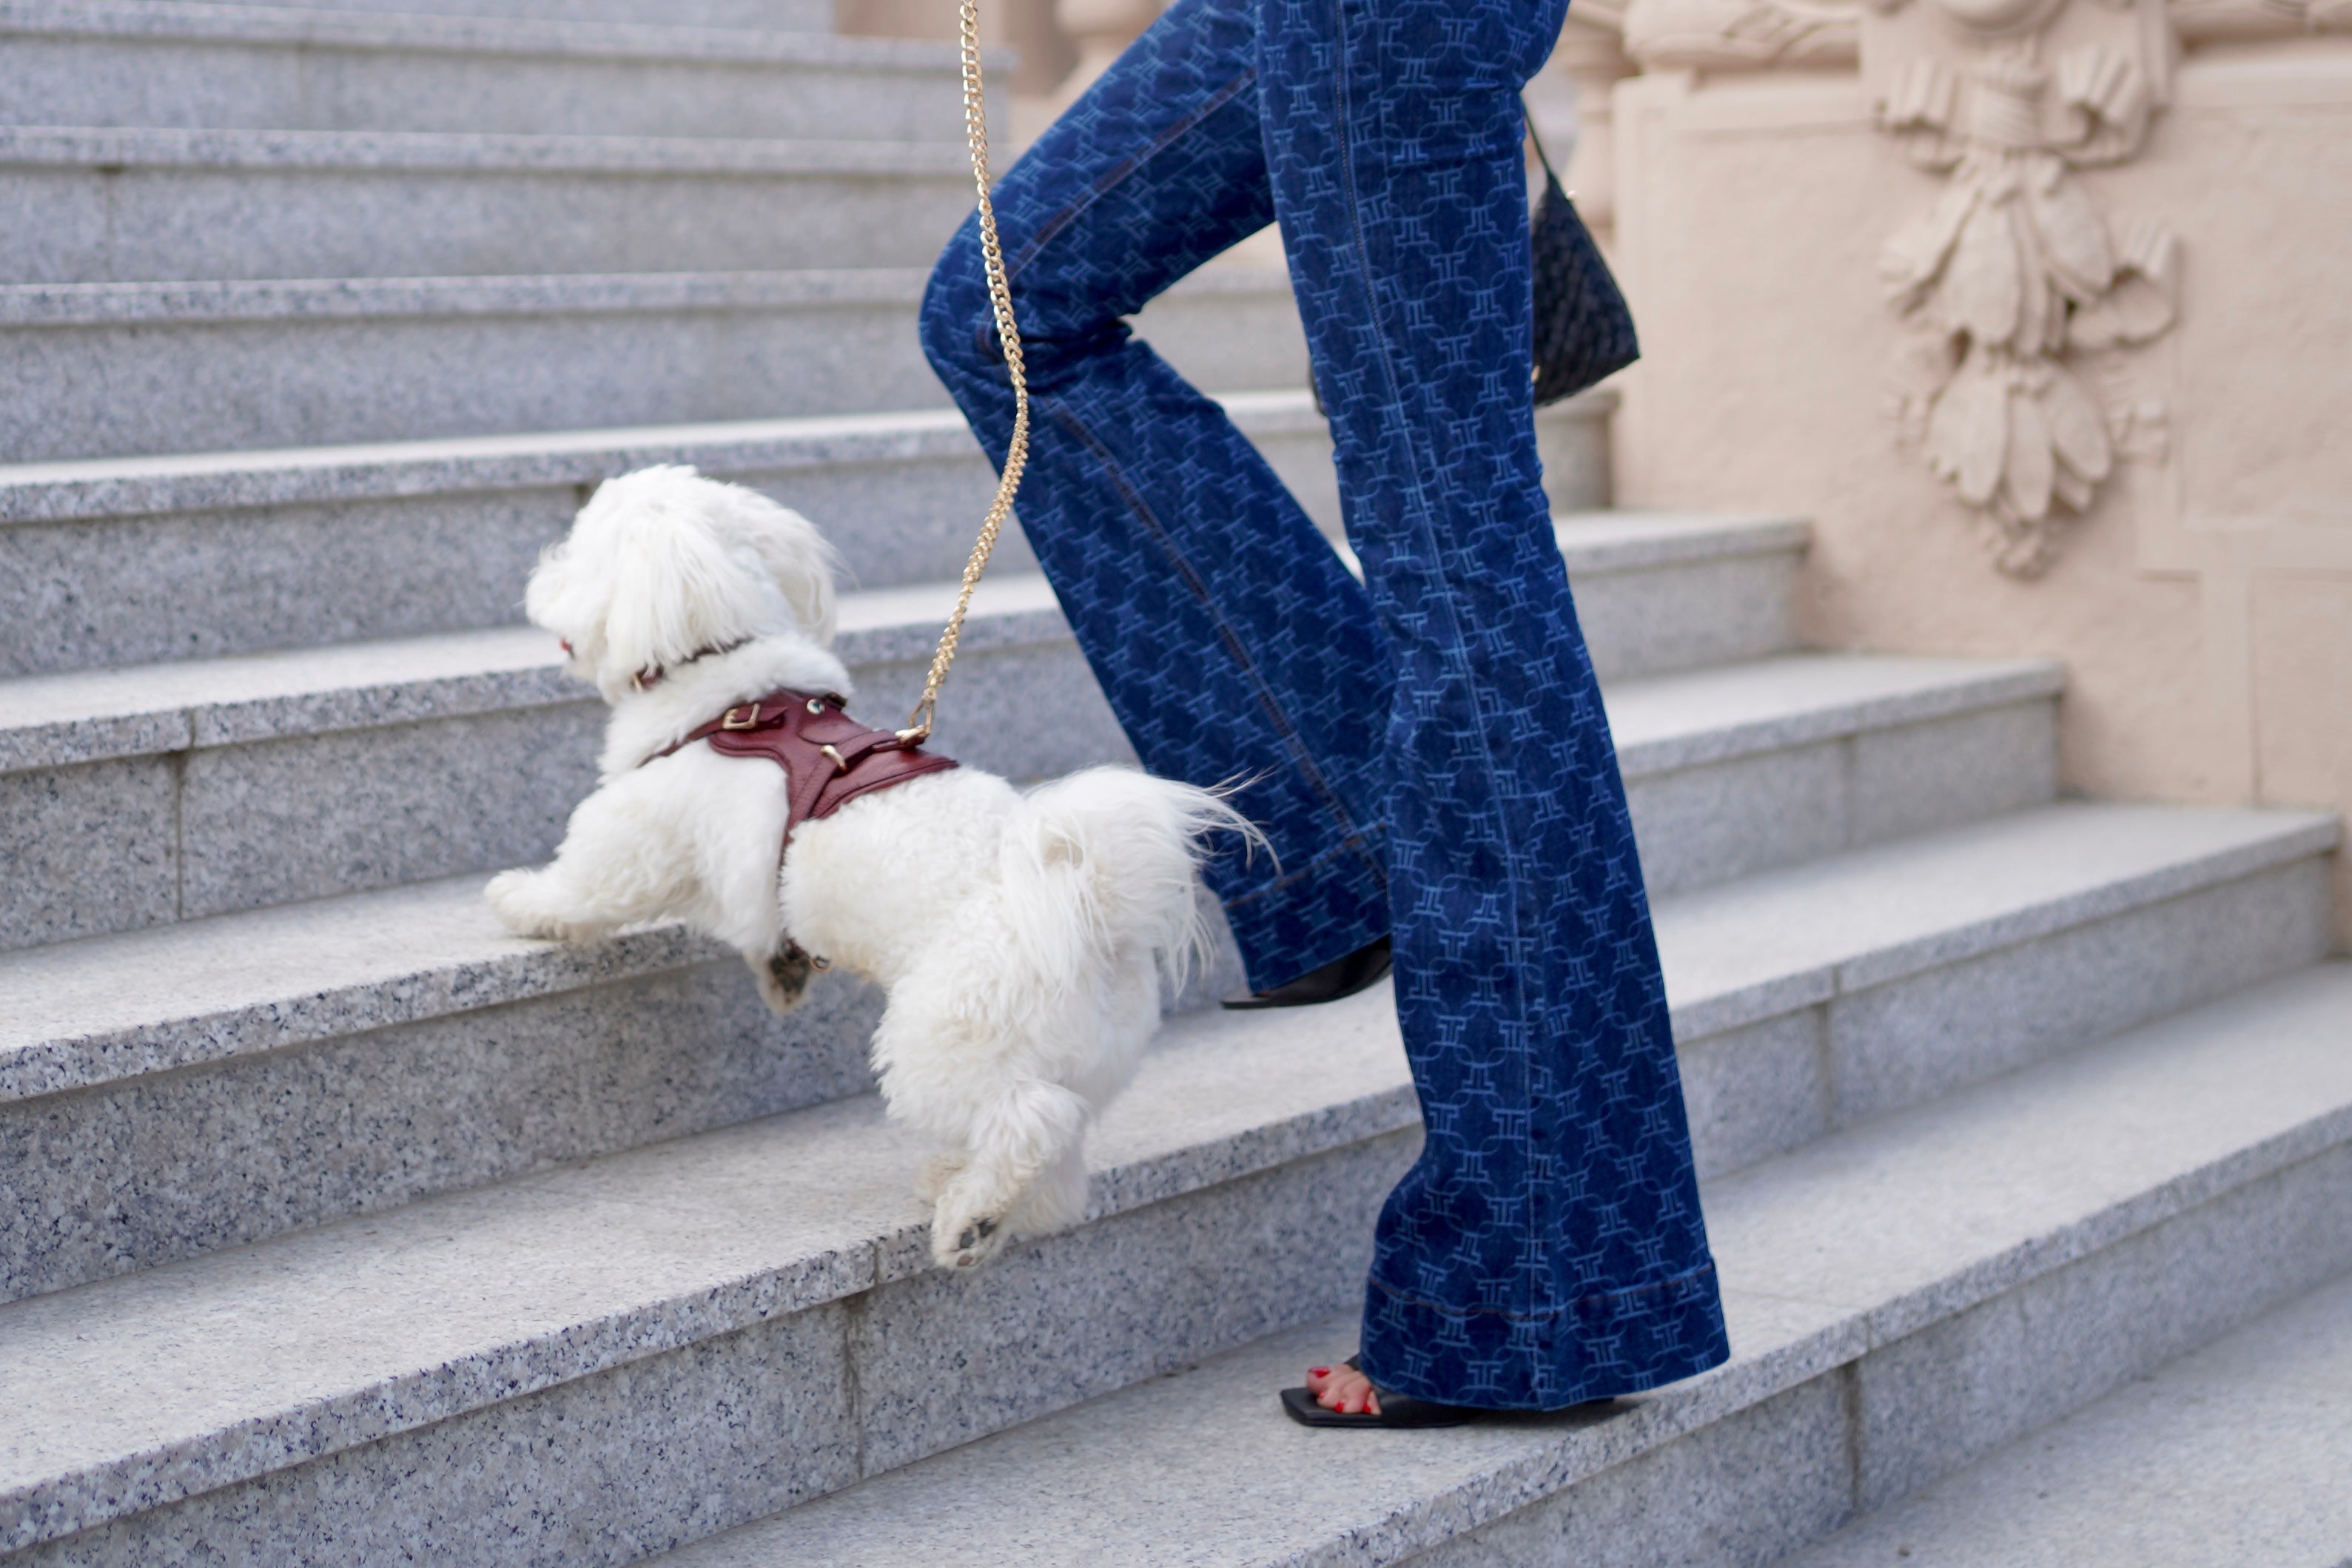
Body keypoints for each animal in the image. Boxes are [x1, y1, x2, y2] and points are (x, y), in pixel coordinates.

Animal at [485, 465, 1256, 1269]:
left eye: (576, 550)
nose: (539, 571)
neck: (732, 687)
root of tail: (1094, 912)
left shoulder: (637, 829)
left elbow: (584, 883)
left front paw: (521, 899)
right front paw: (782, 972)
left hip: (945, 1040)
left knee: (1032, 1120)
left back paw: (968, 1220)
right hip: (1076, 1058)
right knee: (1060, 1156)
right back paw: (972, 1201)